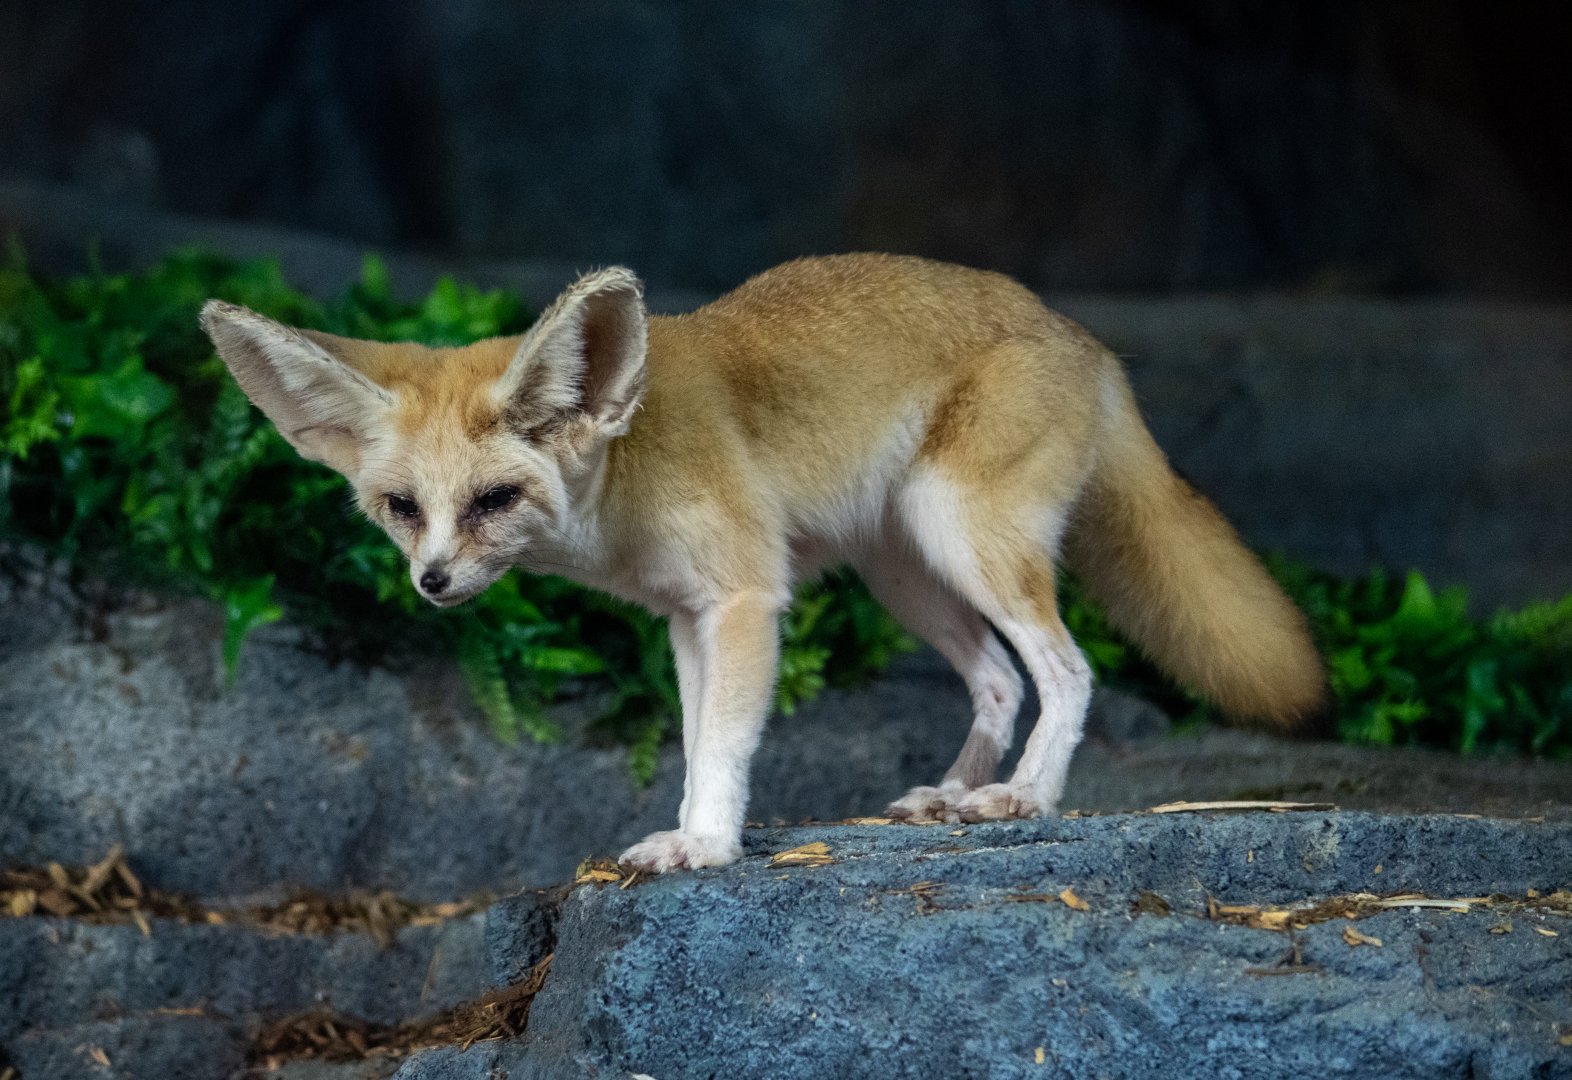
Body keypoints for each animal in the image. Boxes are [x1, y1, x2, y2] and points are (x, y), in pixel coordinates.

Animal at [200, 253, 1326, 873]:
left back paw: (1025, 799)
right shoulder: (684, 618)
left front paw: (704, 846)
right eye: (402, 509)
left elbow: (723, 750)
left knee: (1069, 671)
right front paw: (693, 833)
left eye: (492, 503)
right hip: (906, 573)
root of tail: (1086, 339)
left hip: (965, 538)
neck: (631, 473)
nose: (431, 583)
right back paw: (951, 795)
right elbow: (699, 741)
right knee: (1003, 681)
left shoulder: (744, 600)